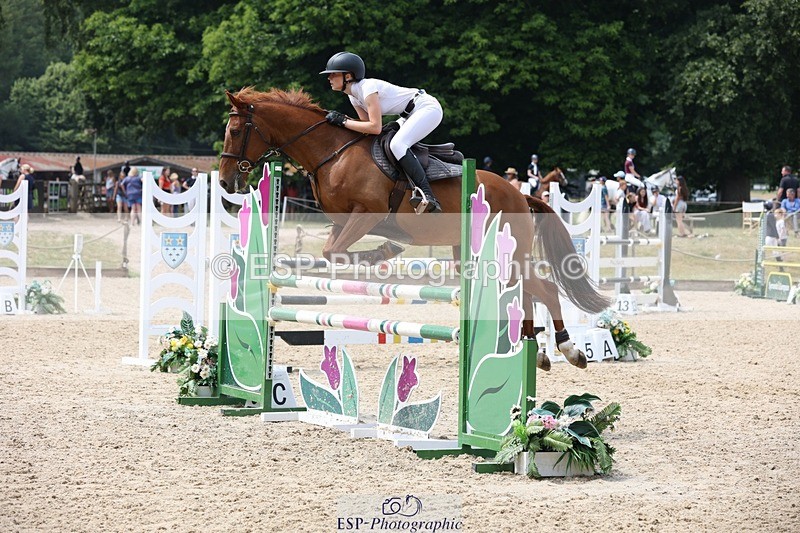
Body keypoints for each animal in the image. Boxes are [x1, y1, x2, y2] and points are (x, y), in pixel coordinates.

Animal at [218, 88, 610, 370]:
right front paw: (384, 251)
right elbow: (332, 250)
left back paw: (568, 349)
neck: (332, 152)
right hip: (481, 255)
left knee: (544, 288)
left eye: (235, 131)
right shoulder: (342, 222)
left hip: (506, 252)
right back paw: (535, 351)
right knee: (526, 292)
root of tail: (518, 193)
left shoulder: (367, 215)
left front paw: (385, 251)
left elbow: (336, 252)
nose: (225, 183)